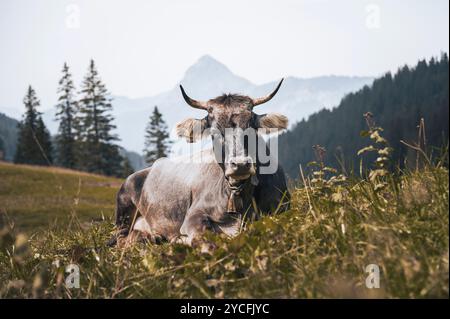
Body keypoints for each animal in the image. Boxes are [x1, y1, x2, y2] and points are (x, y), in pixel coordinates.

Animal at [109, 80, 292, 248]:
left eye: (252, 127)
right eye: (214, 133)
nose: (240, 164)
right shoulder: (193, 216)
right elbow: (204, 239)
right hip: (123, 211)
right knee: (122, 240)